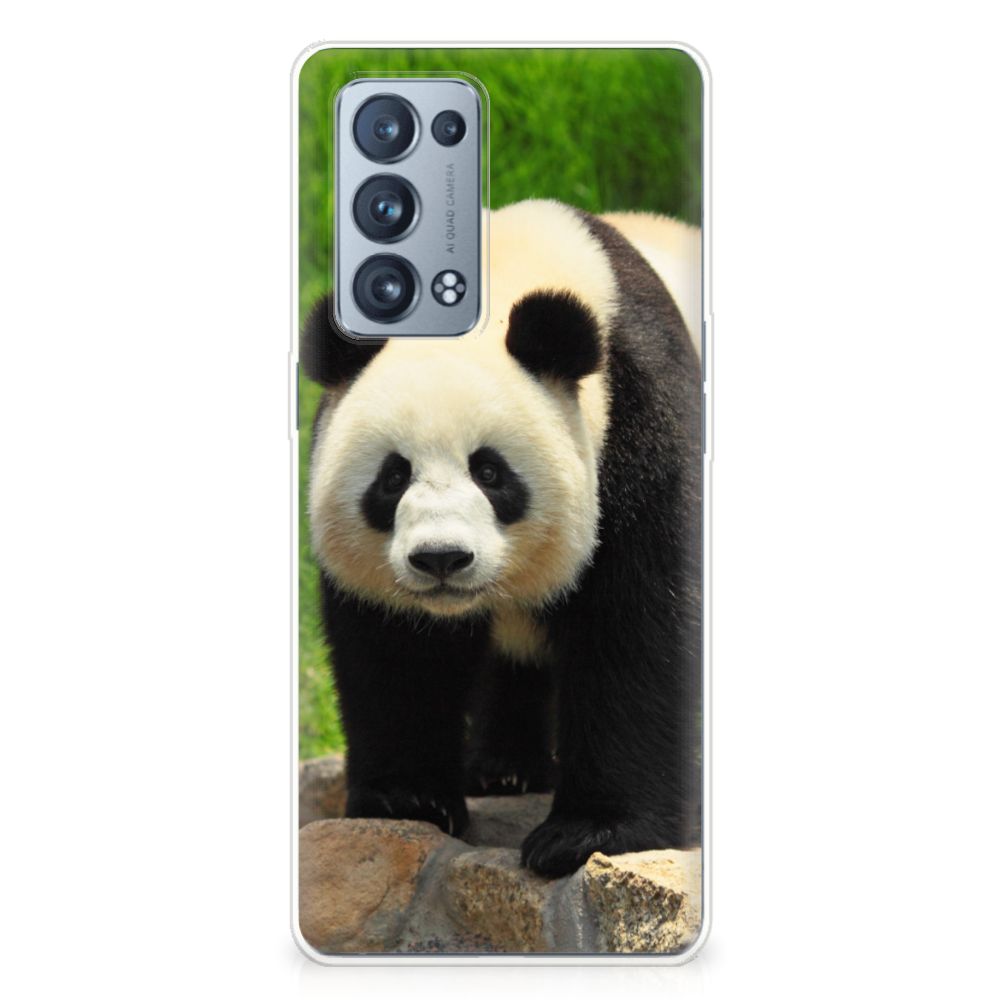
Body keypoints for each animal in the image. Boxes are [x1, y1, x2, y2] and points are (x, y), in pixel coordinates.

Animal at [302, 200, 703, 877]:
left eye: (490, 472)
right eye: (392, 476)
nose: (441, 559)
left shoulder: (641, 422)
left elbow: (639, 624)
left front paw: (588, 832)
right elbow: (395, 651)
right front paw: (408, 799)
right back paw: (503, 769)